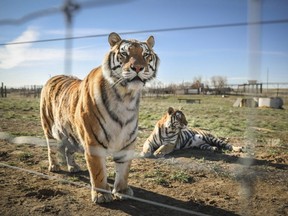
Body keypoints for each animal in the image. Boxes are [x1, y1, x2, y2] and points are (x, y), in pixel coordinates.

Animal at [40, 31, 160, 202]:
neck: (126, 97)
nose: (137, 67)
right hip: (49, 127)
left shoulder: (128, 141)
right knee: (52, 149)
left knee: (68, 150)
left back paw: (73, 167)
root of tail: (53, 76)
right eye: (124, 53)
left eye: (146, 55)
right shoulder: (93, 141)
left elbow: (124, 170)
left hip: (71, 134)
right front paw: (101, 194)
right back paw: (54, 166)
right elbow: (97, 171)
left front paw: (122, 191)